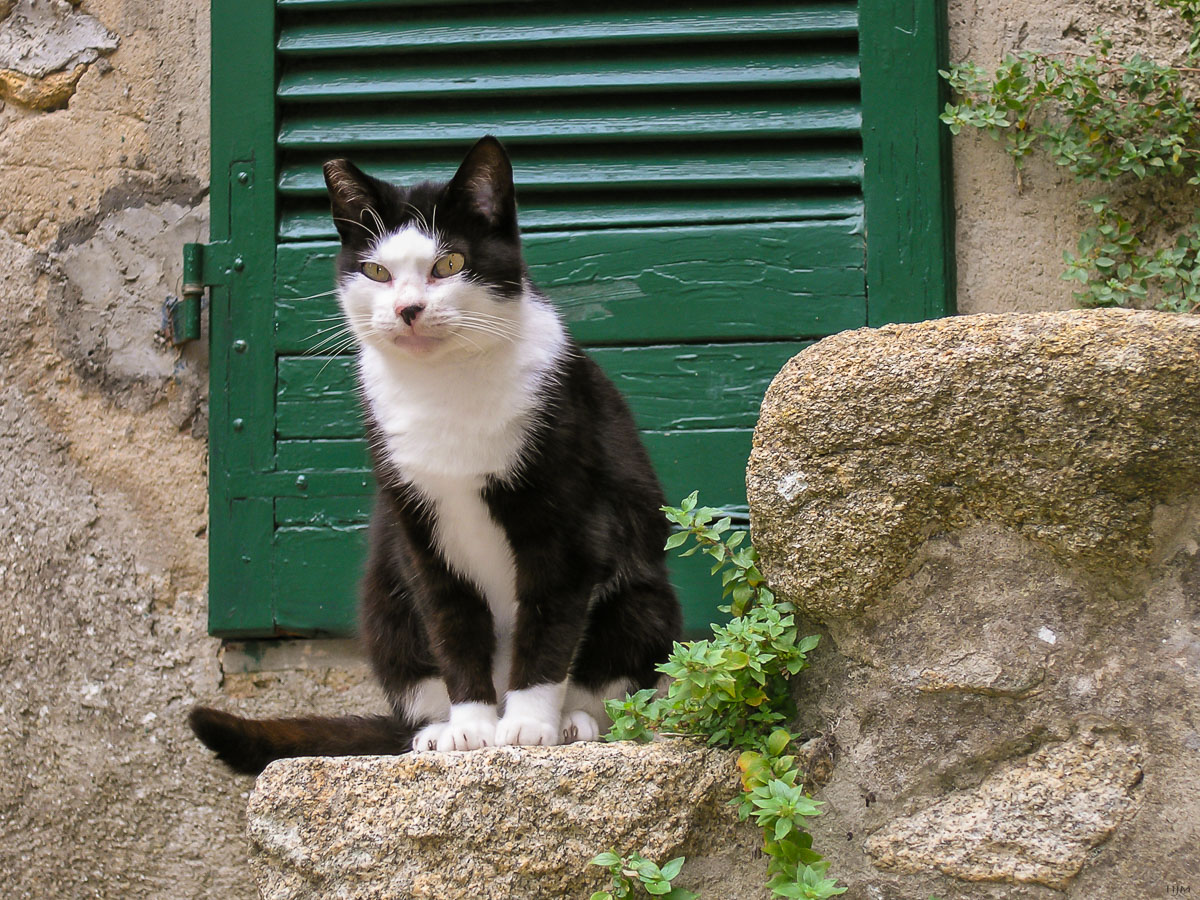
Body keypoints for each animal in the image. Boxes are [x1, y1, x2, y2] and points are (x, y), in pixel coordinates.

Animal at [186, 133, 676, 777]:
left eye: (448, 265)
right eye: (376, 271)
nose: (408, 309)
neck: (444, 387)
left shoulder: (567, 519)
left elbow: (549, 622)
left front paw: (526, 726)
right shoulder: (417, 527)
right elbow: (452, 626)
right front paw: (470, 729)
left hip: (643, 600)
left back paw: (574, 722)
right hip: (385, 605)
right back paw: (435, 730)